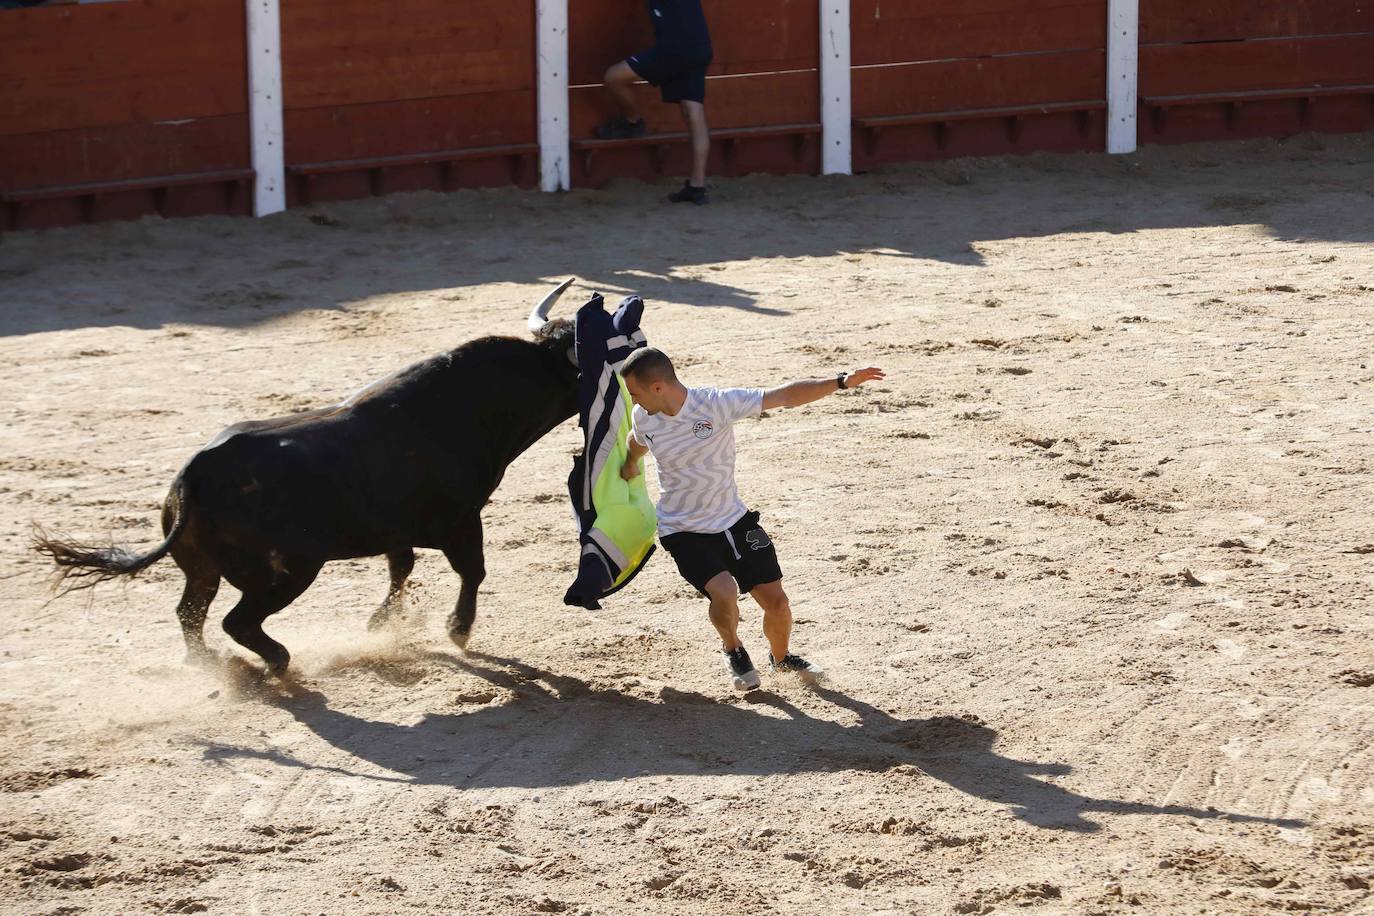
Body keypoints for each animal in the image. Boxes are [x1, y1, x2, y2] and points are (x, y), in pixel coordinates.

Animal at [32, 293, 579, 672]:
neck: (477, 401)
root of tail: (193, 476)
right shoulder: (462, 520)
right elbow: (471, 571)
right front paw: (457, 631)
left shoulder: (396, 527)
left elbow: (400, 567)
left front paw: (381, 624)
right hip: (292, 569)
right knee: (237, 620)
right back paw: (274, 662)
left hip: (203, 568)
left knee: (190, 612)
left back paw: (209, 666)